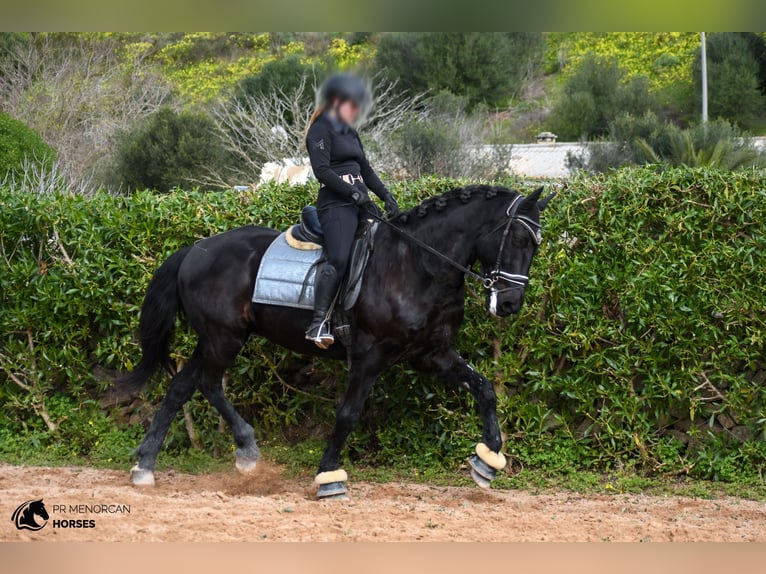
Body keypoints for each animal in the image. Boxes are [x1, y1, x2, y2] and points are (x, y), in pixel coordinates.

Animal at [118, 186, 552, 500]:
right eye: (516, 237)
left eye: (536, 244)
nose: (510, 304)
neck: (418, 264)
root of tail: (194, 249)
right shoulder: (369, 356)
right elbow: (348, 414)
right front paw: (329, 475)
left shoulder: (432, 354)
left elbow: (485, 389)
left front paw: (488, 460)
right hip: (223, 337)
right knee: (207, 383)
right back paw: (243, 451)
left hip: (214, 338)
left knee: (182, 386)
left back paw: (147, 466)